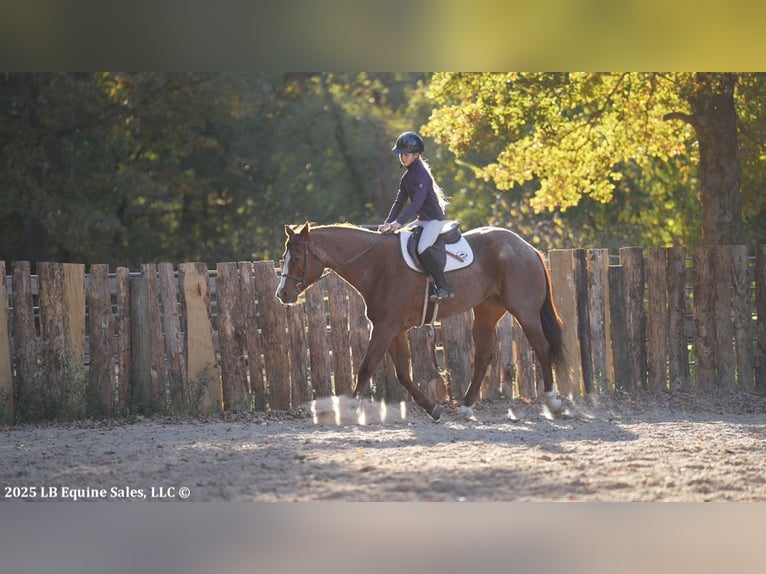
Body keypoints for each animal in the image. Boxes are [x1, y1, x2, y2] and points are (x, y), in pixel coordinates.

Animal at [275, 222, 566, 422]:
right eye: (283, 258)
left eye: (298, 258)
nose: (282, 295)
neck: (376, 264)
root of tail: (526, 247)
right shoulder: (393, 330)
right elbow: (403, 373)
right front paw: (432, 409)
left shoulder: (385, 329)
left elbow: (366, 368)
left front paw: (349, 409)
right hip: (486, 313)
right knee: (484, 356)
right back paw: (466, 406)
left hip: (525, 312)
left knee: (542, 348)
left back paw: (553, 403)